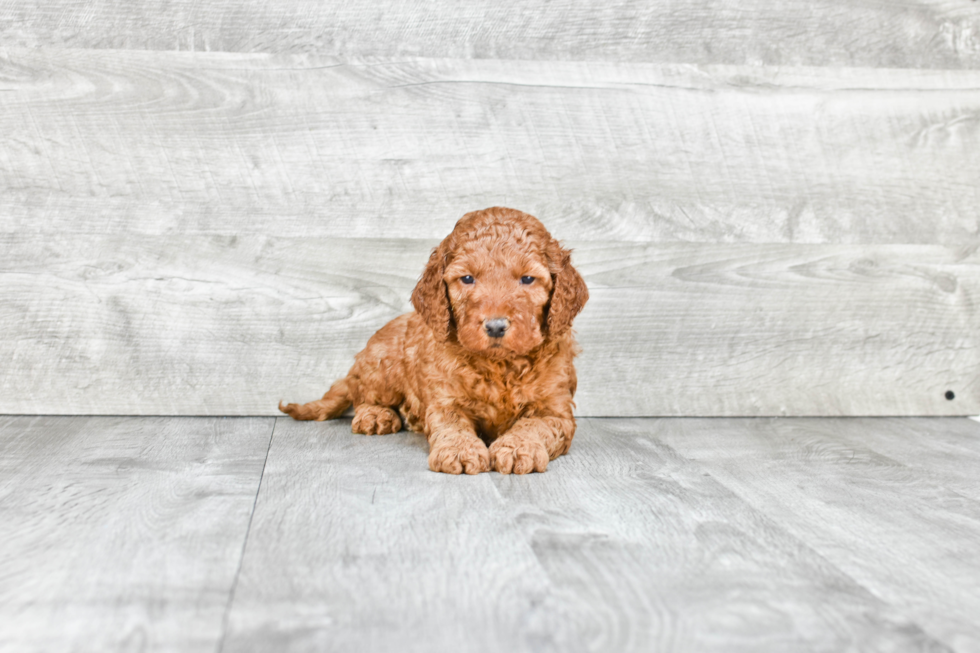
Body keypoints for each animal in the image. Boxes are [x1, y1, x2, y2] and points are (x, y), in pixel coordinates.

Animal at [282, 205, 588, 474]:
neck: (500, 365)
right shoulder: (445, 401)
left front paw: (517, 448)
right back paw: (376, 415)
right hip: (381, 364)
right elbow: (452, 424)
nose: (496, 326)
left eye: (527, 279)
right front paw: (460, 451)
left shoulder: (554, 410)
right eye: (467, 278)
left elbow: (534, 425)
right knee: (363, 395)